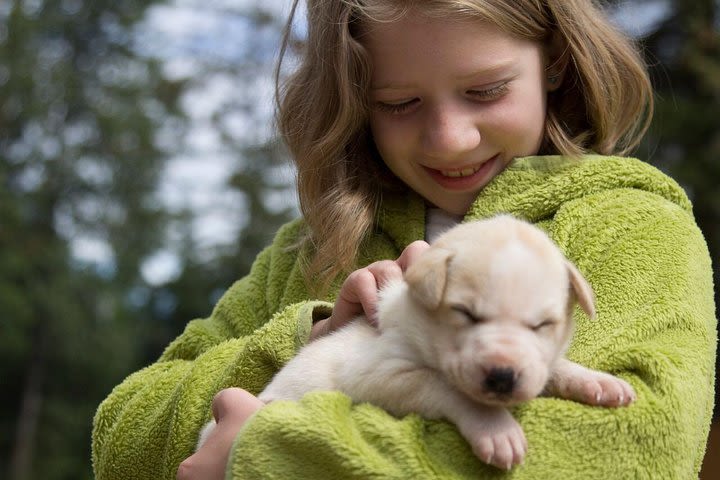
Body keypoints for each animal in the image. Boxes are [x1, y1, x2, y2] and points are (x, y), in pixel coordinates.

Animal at [197, 217, 636, 468]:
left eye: (543, 324)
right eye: (465, 314)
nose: (502, 377)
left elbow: (555, 366)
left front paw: (599, 382)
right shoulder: (381, 375)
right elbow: (449, 388)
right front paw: (497, 429)